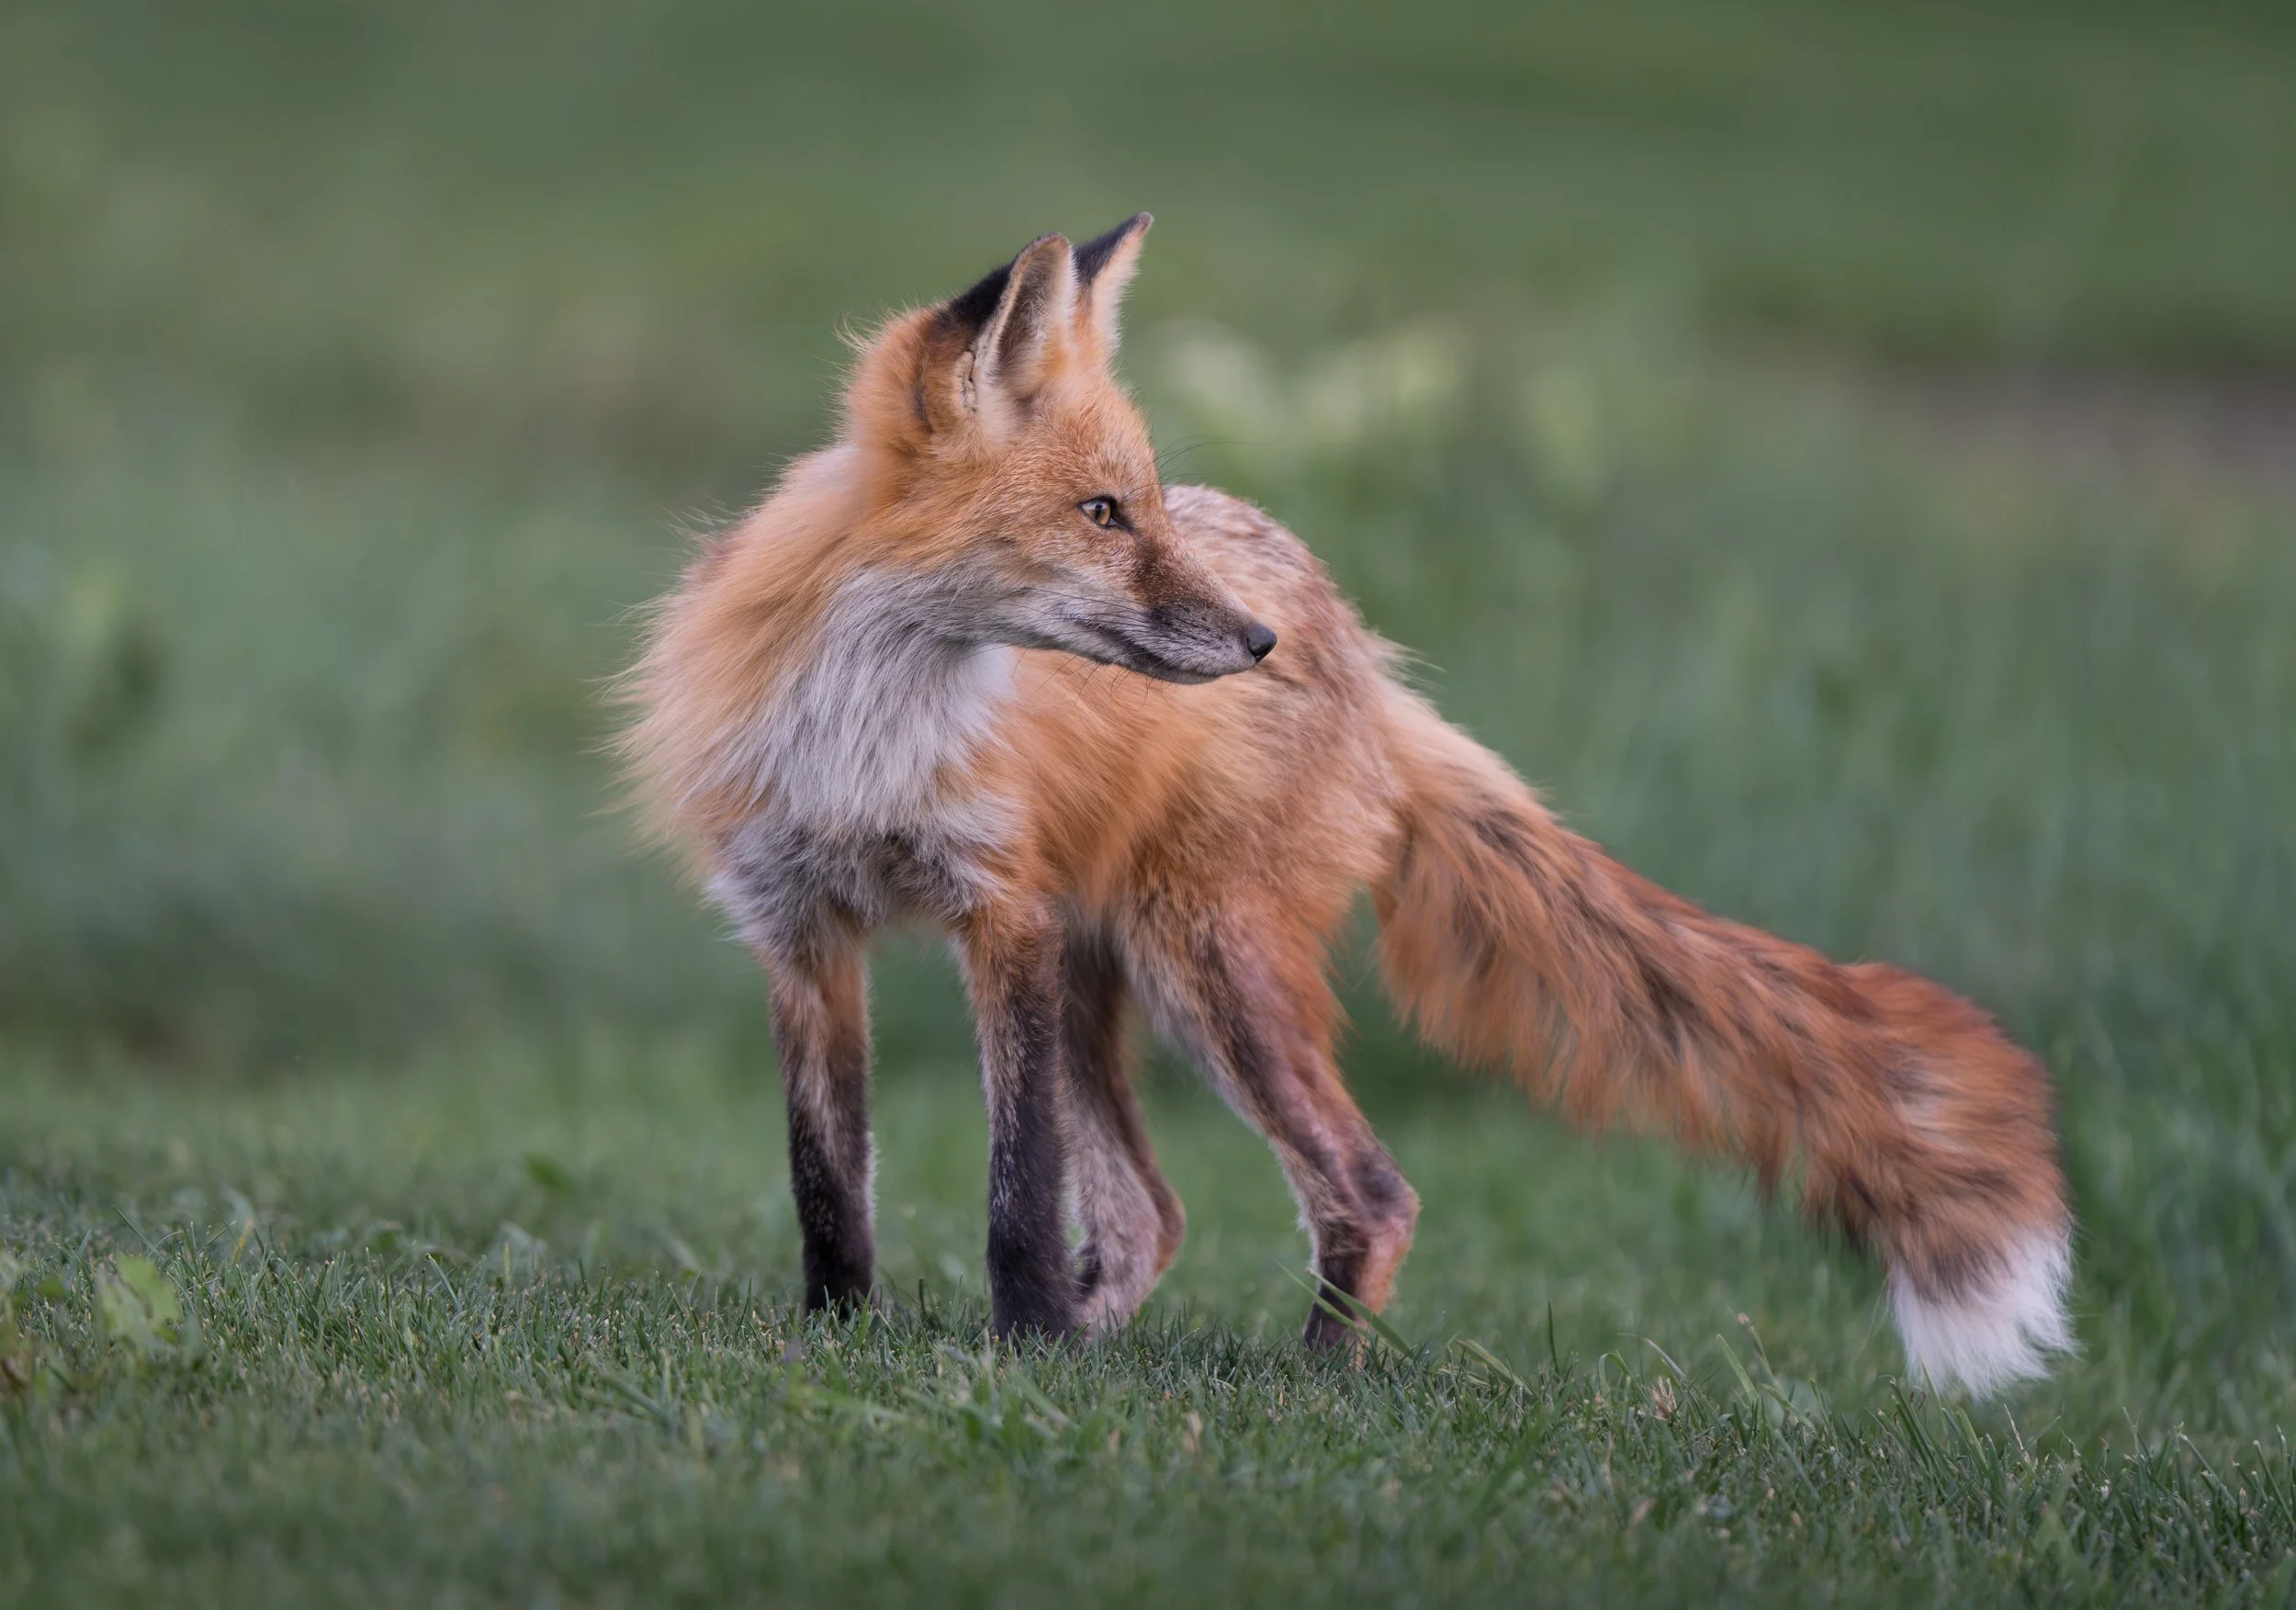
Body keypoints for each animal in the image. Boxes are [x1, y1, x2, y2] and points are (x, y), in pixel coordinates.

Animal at [620, 215, 2074, 1394]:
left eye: (1142, 508)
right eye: (1102, 514)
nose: (1251, 641)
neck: (875, 725)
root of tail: (1361, 652)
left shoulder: (1003, 917)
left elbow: (1017, 1189)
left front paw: (1017, 1353)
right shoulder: (799, 923)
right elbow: (828, 1179)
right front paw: (841, 1339)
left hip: (1201, 963)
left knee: (1365, 1190)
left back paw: (1312, 1383)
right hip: (1116, 973)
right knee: (1150, 1214)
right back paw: (1109, 1347)